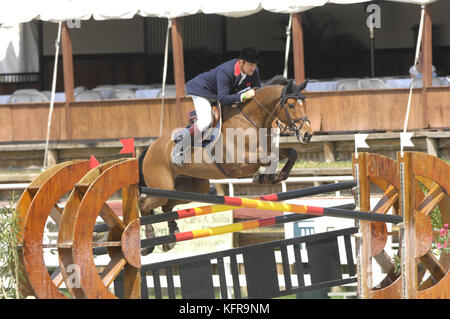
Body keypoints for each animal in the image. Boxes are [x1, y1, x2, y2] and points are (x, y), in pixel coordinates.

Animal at [139, 78, 312, 255]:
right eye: (291, 105)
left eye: (304, 103)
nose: (307, 134)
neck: (249, 120)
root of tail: (150, 148)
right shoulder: (239, 164)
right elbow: (270, 158)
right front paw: (263, 177)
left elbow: (291, 153)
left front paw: (273, 177)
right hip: (162, 187)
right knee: (143, 203)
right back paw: (148, 245)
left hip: (194, 187)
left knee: (167, 205)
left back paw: (171, 238)